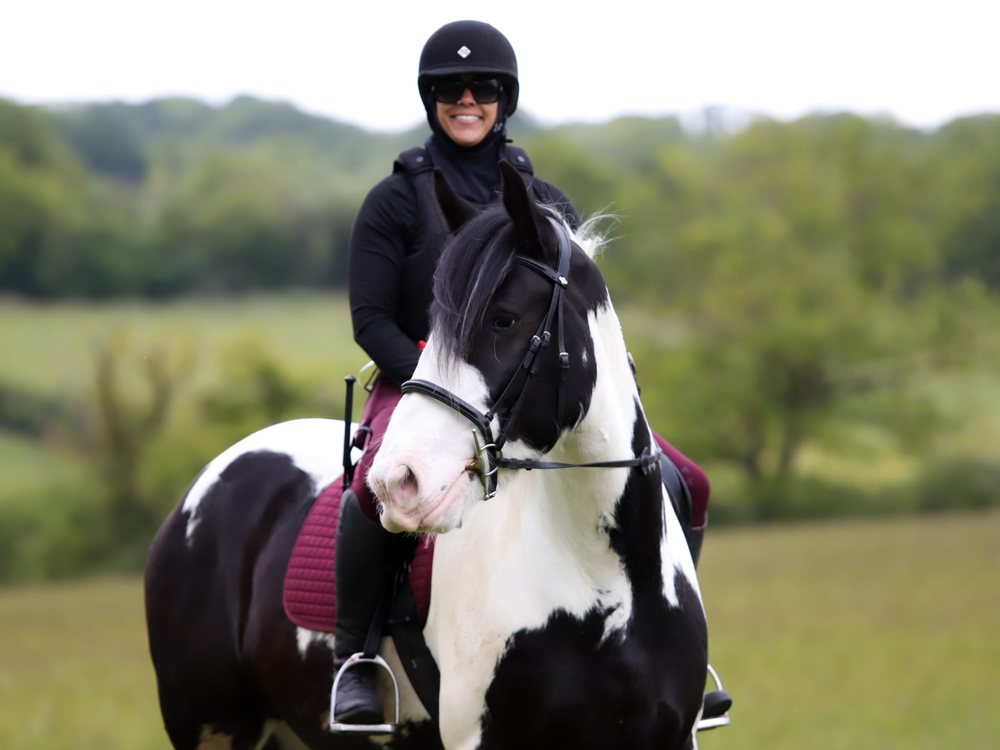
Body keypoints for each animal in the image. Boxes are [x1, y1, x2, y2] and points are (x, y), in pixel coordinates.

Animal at [145, 161, 710, 750]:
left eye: (503, 319)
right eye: (435, 322)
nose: (399, 481)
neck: (600, 577)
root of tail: (203, 488)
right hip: (215, 727)